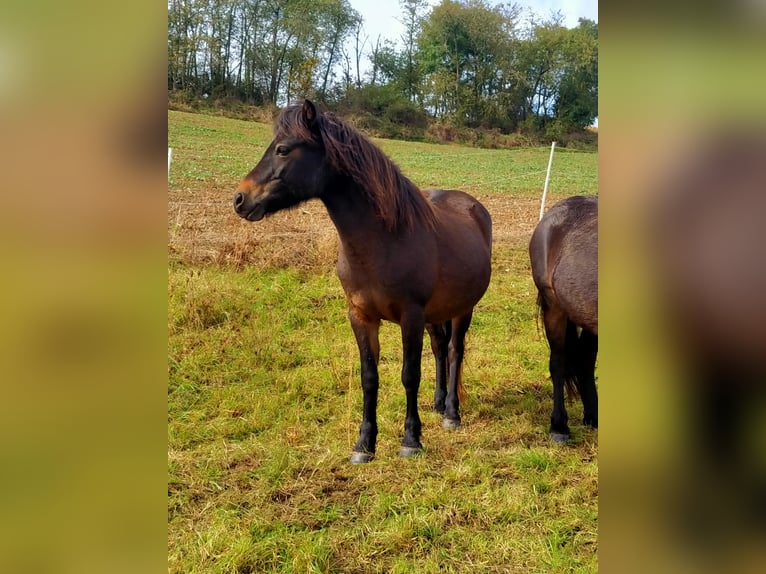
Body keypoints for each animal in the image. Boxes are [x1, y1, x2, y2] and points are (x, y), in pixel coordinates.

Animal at [232, 100, 492, 464]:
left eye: (283, 149)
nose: (240, 199)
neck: (383, 239)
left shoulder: (411, 317)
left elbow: (409, 375)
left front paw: (410, 440)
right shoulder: (361, 316)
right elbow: (369, 377)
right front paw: (364, 445)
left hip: (462, 309)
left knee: (455, 351)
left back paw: (452, 413)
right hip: (436, 314)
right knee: (440, 349)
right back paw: (439, 404)